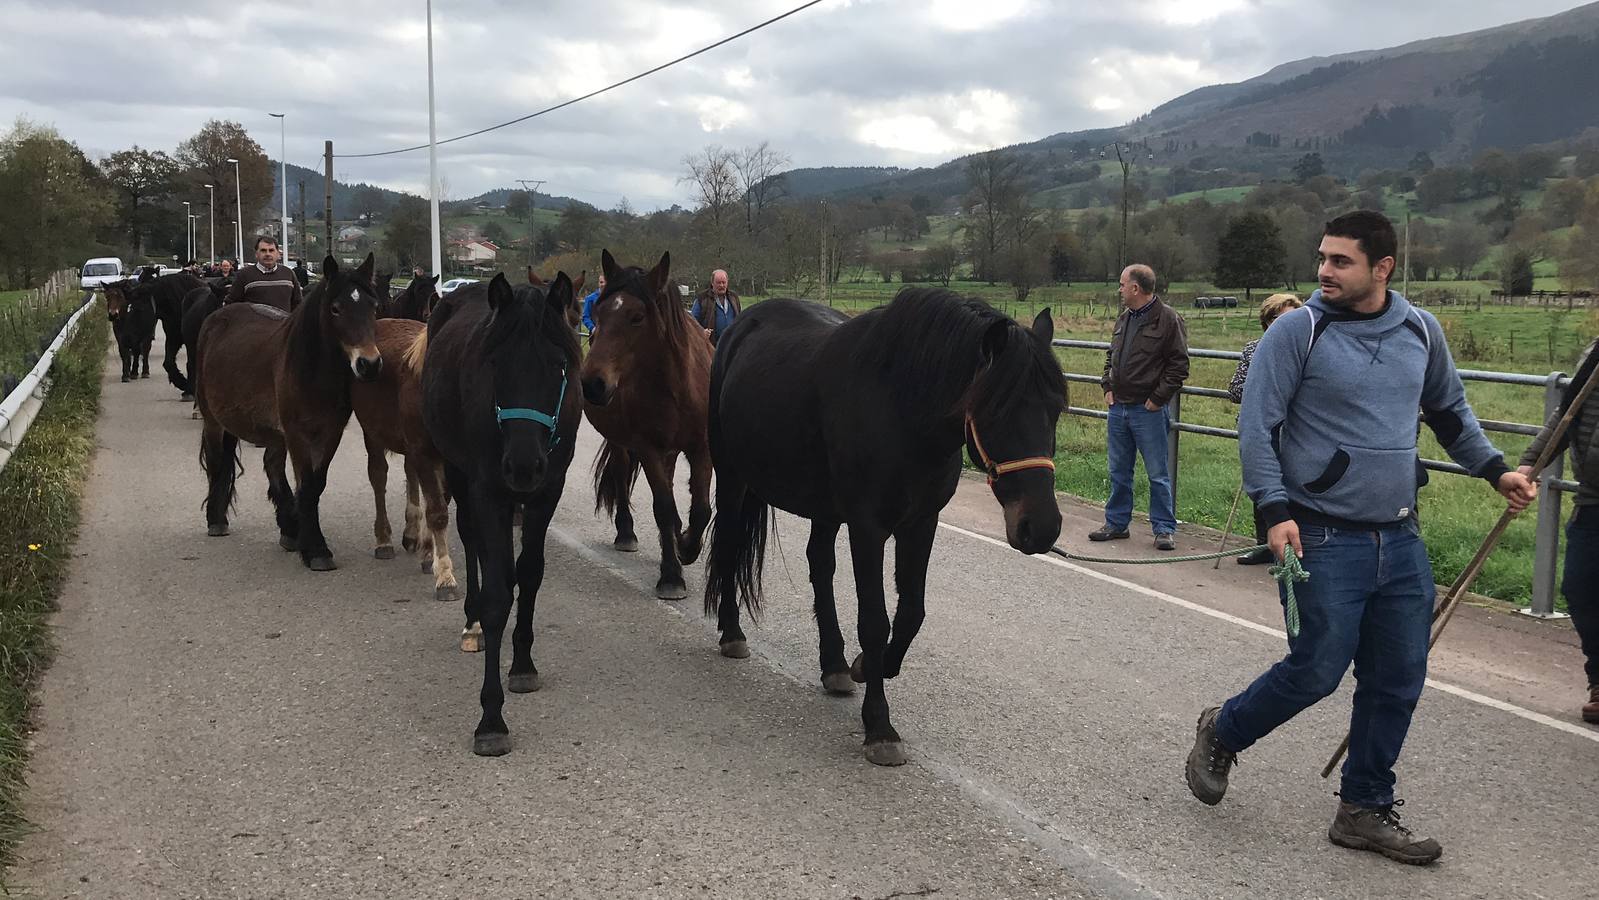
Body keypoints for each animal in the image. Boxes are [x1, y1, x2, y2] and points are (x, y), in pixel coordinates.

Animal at [195, 254, 385, 569]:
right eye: (335, 308)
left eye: (374, 306)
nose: (369, 364)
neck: (312, 370)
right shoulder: (297, 434)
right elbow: (306, 484)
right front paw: (316, 549)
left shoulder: (330, 433)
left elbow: (315, 485)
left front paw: (307, 539)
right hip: (214, 422)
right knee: (217, 462)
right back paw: (216, 520)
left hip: (273, 434)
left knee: (272, 467)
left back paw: (289, 530)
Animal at [418, 271, 582, 757]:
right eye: (495, 364)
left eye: (558, 365)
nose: (523, 466)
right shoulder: (488, 490)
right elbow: (495, 596)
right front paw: (491, 718)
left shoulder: (548, 491)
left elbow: (528, 574)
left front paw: (523, 661)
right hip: (458, 472)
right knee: (471, 537)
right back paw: (470, 621)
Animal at [578, 249, 709, 601]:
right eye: (597, 313)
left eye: (637, 317)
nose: (592, 384)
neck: (677, 385)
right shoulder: (647, 447)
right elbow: (663, 507)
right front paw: (672, 576)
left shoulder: (702, 449)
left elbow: (701, 509)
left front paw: (686, 545)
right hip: (623, 443)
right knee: (622, 476)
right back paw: (627, 533)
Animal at [706, 289, 1068, 767]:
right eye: (996, 410)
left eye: (1056, 410)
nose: (1041, 528)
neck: (902, 408)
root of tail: (739, 327)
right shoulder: (868, 527)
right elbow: (875, 621)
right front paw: (879, 726)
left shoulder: (920, 524)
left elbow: (911, 612)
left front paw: (865, 666)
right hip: (733, 478)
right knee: (730, 546)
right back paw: (732, 633)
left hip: (823, 508)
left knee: (820, 566)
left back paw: (835, 666)